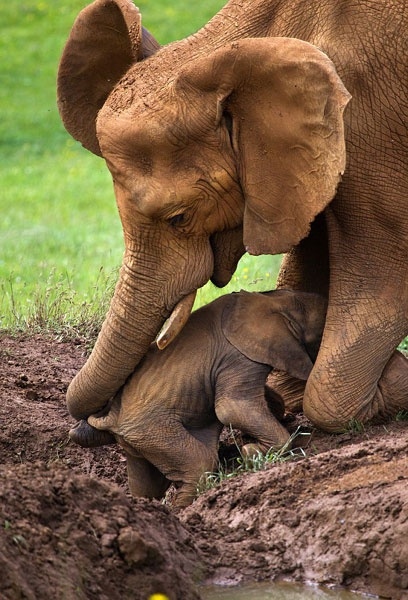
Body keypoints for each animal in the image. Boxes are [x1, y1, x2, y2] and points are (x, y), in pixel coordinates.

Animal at [72, 290, 326, 506]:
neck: (275, 300)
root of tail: (111, 418)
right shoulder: (238, 357)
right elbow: (232, 408)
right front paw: (250, 452)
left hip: (136, 439)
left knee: (147, 485)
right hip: (149, 428)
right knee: (200, 465)